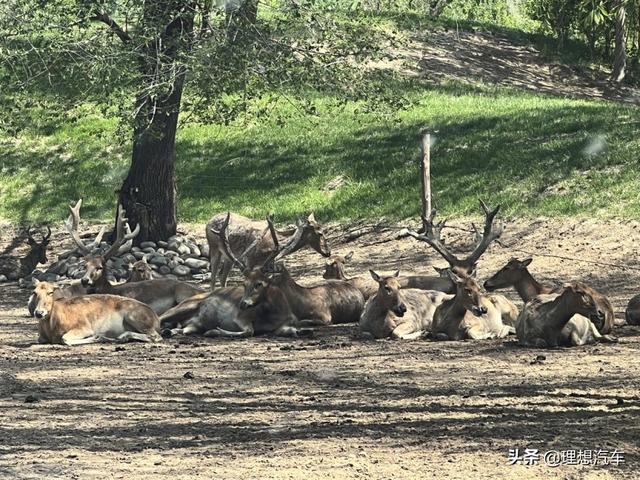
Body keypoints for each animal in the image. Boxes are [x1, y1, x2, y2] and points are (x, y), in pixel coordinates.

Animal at [32, 280, 162, 346]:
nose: (39, 313)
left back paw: (122, 336)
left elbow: (65, 339)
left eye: (50, 292)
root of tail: (156, 318)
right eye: (34, 292)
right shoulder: (42, 337)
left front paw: (97, 337)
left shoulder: (84, 328)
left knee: (156, 337)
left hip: (134, 317)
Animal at [66, 199, 204, 316]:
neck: (112, 291)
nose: (85, 280)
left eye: (99, 267)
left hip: (183, 293)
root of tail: (202, 291)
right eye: (85, 265)